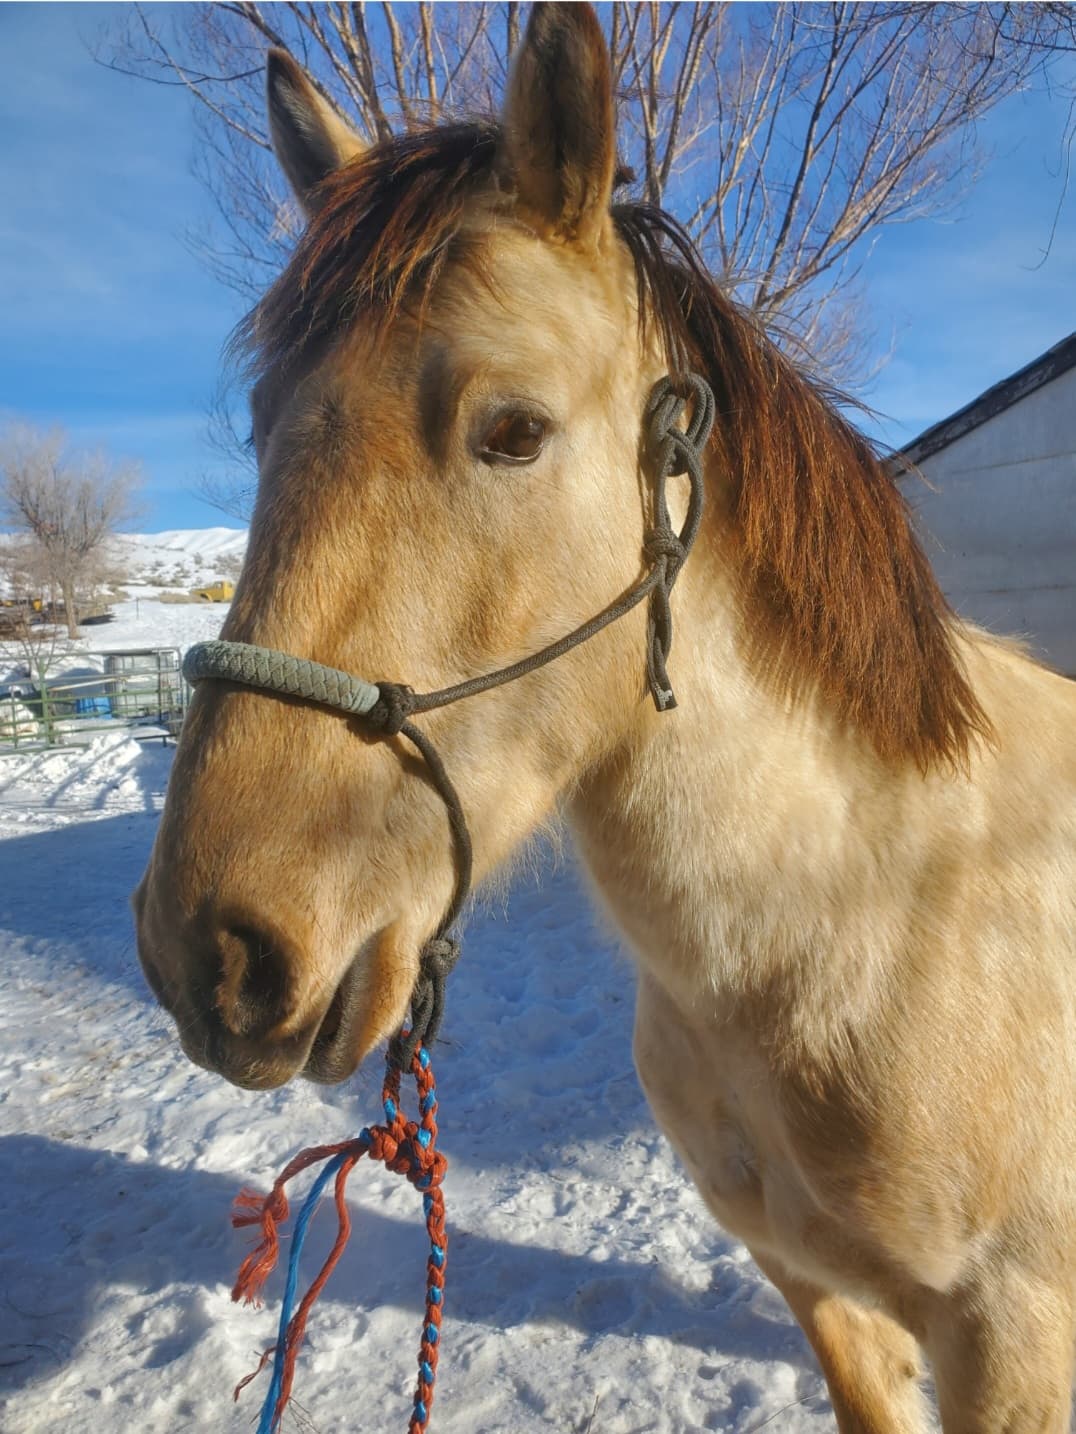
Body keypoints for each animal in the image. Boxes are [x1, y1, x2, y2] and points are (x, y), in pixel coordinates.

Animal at [134, 5, 1076, 1427]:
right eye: (262, 426)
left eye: (513, 431)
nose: (213, 955)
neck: (876, 921)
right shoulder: (822, 1294)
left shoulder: (1016, 1342)